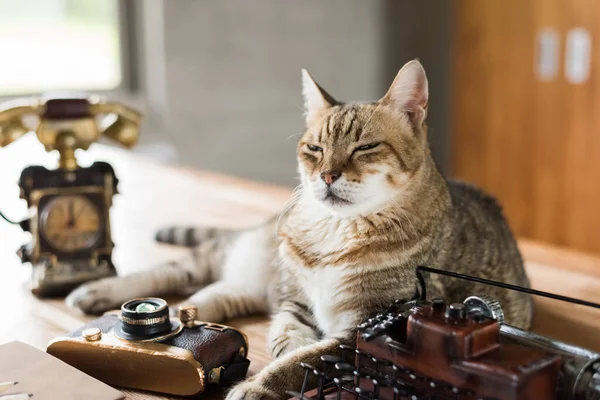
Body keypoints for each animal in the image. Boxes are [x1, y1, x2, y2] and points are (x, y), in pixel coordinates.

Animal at [67, 60, 536, 400]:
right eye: (314, 148)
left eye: (365, 147)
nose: (327, 175)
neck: (336, 232)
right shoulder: (297, 303)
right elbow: (289, 343)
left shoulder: (363, 329)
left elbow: (298, 360)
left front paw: (260, 384)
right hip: (235, 256)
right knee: (173, 272)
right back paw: (97, 292)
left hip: (240, 290)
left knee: (200, 302)